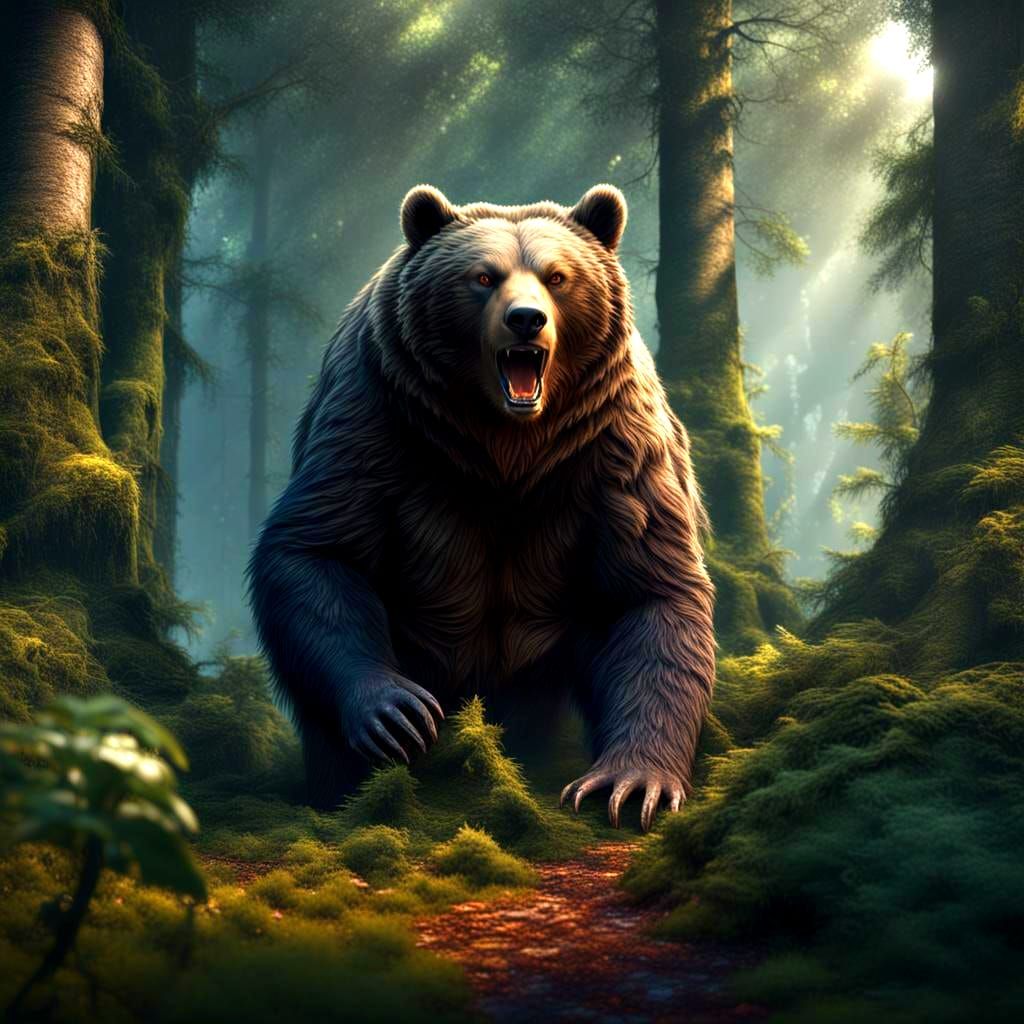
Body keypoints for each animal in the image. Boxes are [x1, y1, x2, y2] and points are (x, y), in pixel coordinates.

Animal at [247, 184, 716, 832]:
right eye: (483, 276)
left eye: (558, 276)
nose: (526, 319)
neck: (506, 446)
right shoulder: (377, 415)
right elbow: (320, 549)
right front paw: (396, 712)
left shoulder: (613, 445)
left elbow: (647, 590)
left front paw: (628, 783)